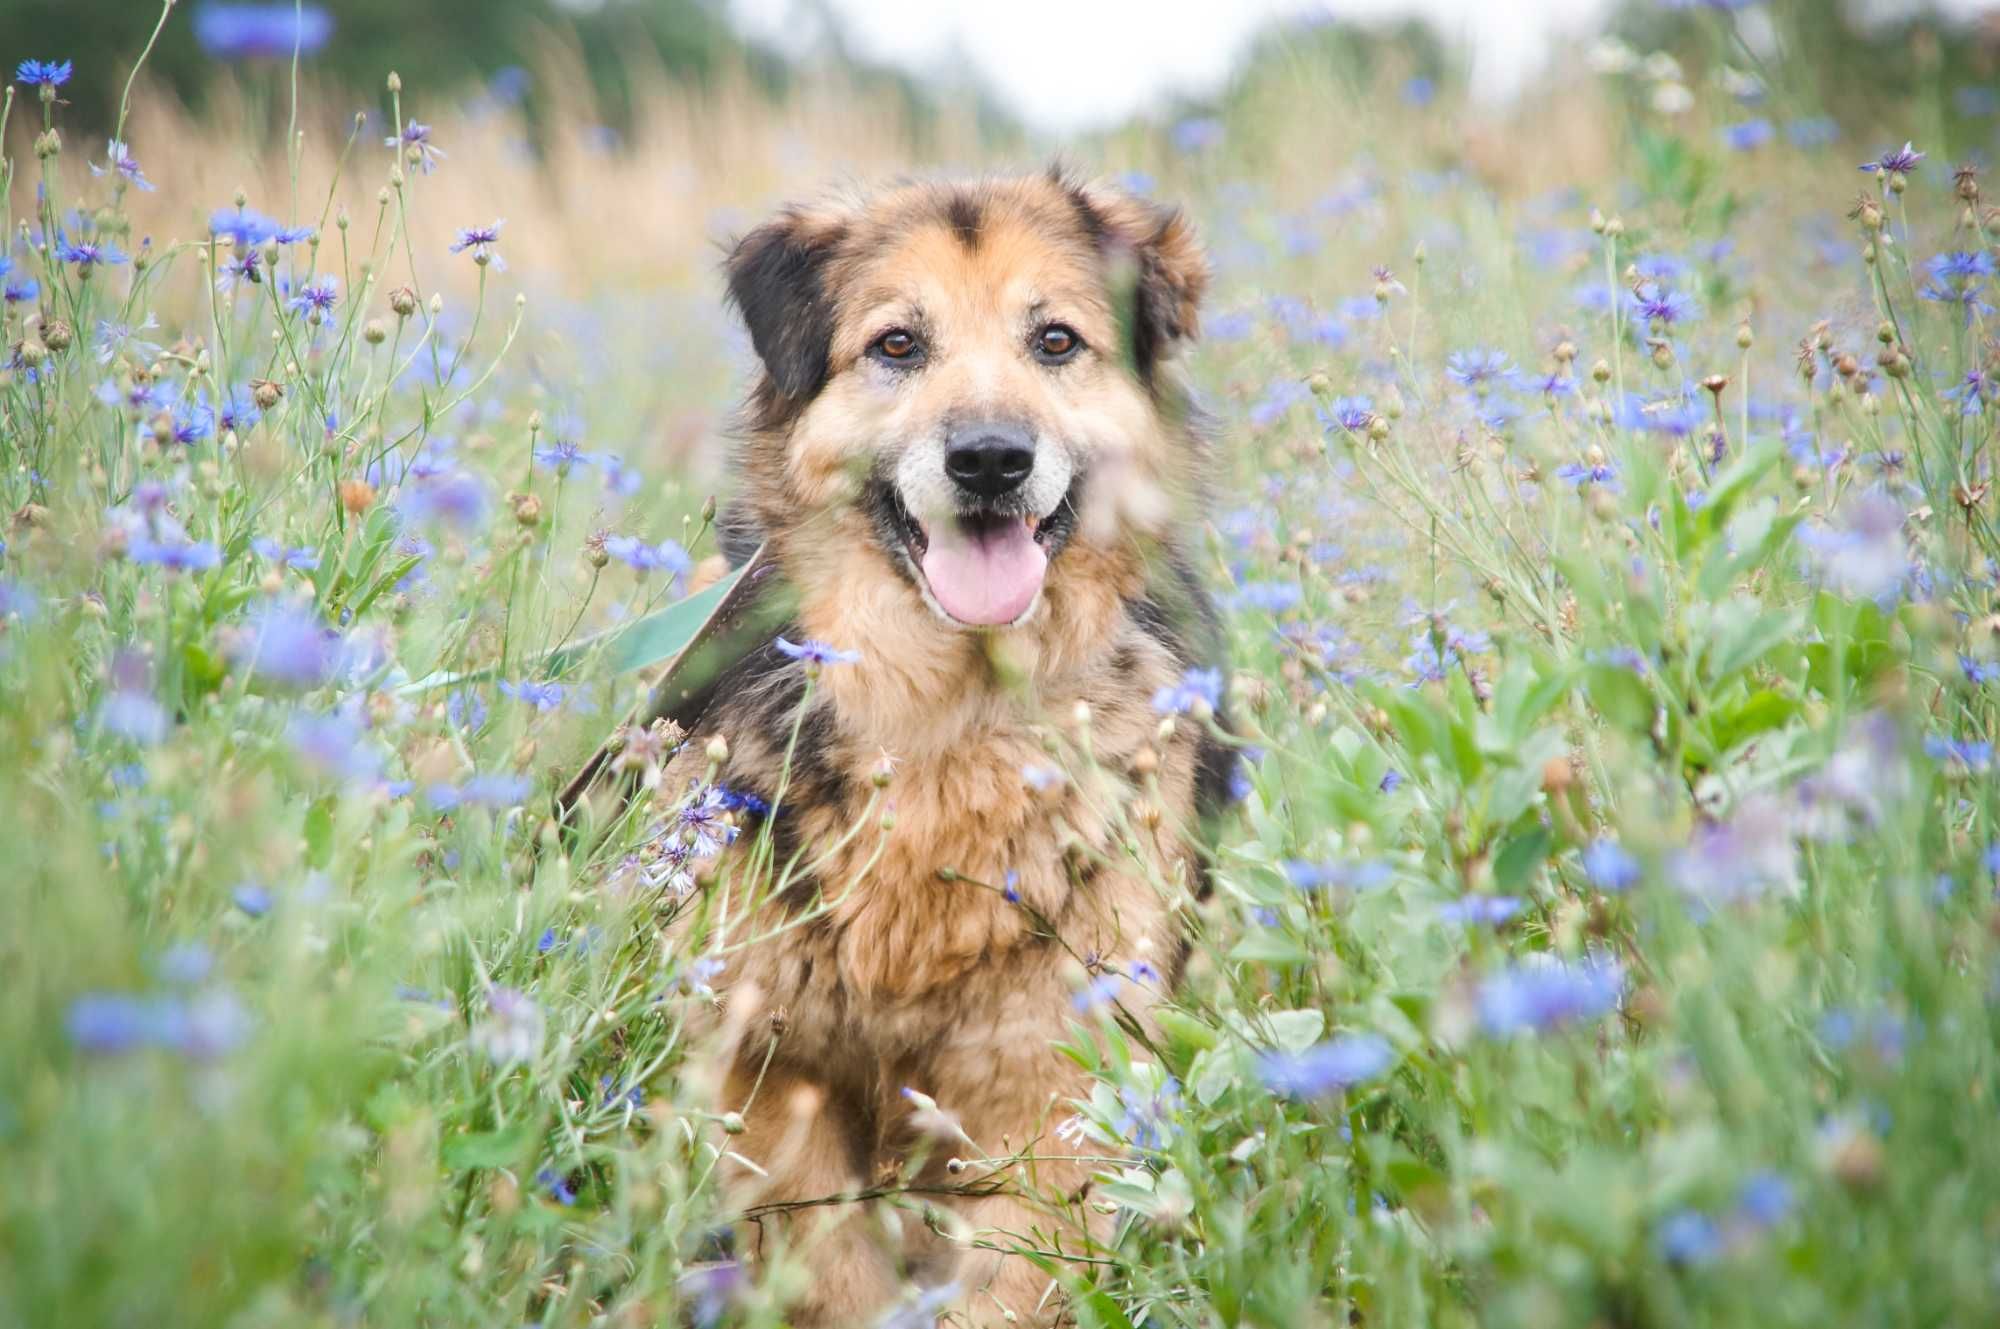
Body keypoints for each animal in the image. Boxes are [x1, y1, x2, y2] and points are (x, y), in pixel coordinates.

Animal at [640, 171, 1232, 1320]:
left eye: (1055, 340)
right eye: (898, 345)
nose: (991, 460)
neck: (949, 715)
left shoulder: (1055, 1080)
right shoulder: (771, 1082)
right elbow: (830, 1276)